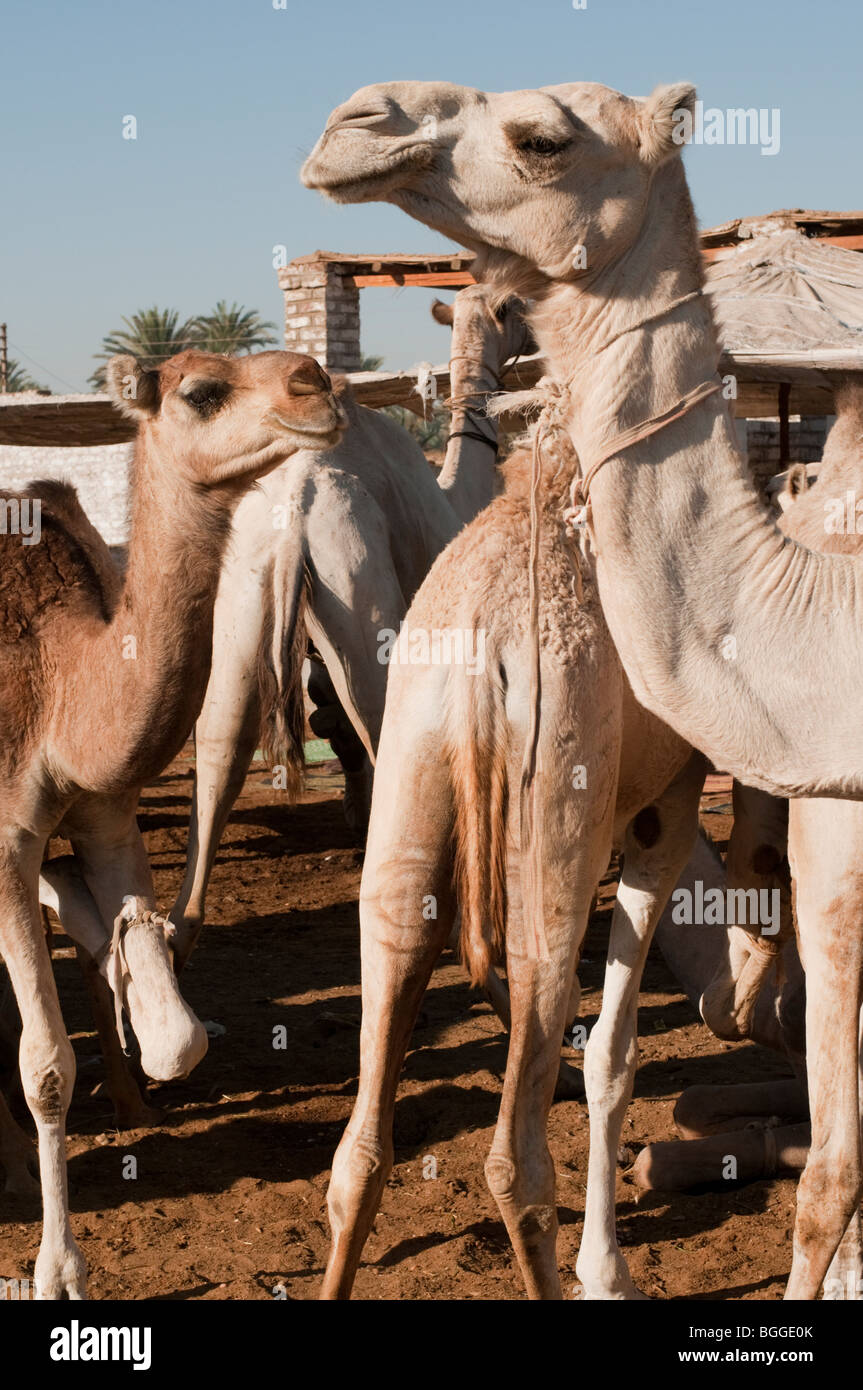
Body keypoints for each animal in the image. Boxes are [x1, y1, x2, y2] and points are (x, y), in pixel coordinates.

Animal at [0, 344, 343, 1289]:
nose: (318, 385)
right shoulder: (5, 838)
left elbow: (176, 1034)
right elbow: (46, 1064)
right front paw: (58, 1269)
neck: (63, 688)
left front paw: (145, 1063)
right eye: (200, 392)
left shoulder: (106, 815)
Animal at [170, 289, 530, 973]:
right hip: (361, 597)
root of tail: (292, 523)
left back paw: (175, 941)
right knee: (382, 739)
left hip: (241, 602)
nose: (533, 332)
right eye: (517, 309)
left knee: (221, 748)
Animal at [304, 76, 863, 1295]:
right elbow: (613, 1052)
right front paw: (611, 1266)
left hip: (407, 802)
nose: (352, 123)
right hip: (548, 820)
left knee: (360, 1138)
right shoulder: (659, 810)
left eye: (540, 137)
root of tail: (479, 645)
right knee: (513, 1143)